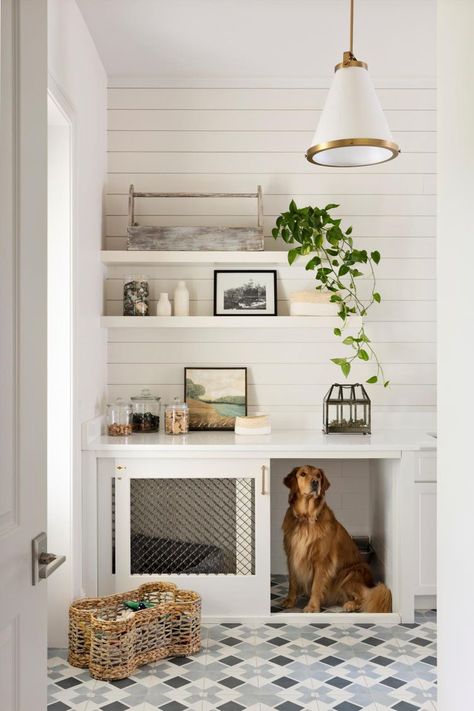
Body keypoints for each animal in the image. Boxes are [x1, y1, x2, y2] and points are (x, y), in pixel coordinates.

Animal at [282, 464, 392, 616]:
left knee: (367, 596)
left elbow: (316, 585)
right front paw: (290, 601)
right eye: (303, 474)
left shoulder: (322, 561)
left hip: (349, 574)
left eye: (318, 475)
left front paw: (312, 607)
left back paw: (351, 604)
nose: (315, 482)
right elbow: (292, 582)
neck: (306, 518)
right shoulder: (291, 556)